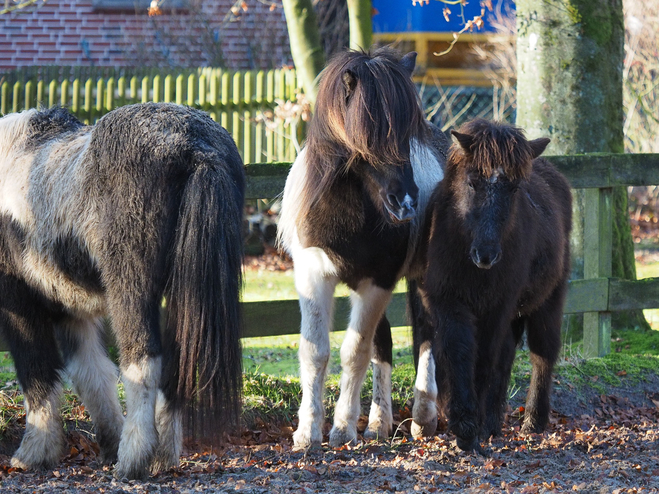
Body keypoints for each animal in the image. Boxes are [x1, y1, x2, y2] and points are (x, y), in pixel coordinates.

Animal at [0, 104, 245, 478]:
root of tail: (198, 147)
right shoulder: (70, 312)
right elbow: (93, 375)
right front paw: (108, 442)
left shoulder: (20, 304)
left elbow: (37, 371)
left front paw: (33, 453)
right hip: (184, 296)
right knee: (174, 368)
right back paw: (161, 456)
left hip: (131, 290)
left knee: (142, 361)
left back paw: (133, 459)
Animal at [276, 49, 452, 448]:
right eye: (366, 132)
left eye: (409, 132)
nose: (406, 202)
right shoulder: (313, 274)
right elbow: (317, 351)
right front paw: (308, 432)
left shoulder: (378, 283)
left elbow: (354, 352)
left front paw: (342, 429)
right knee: (384, 343)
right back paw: (378, 424)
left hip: (422, 279)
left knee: (427, 336)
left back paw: (422, 417)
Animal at [416, 118, 576, 452]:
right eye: (473, 182)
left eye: (513, 188)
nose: (486, 255)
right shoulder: (448, 301)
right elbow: (460, 351)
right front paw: (465, 424)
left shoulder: (497, 305)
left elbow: (485, 357)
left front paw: (471, 425)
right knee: (506, 357)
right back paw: (492, 423)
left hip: (548, 300)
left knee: (542, 351)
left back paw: (533, 420)